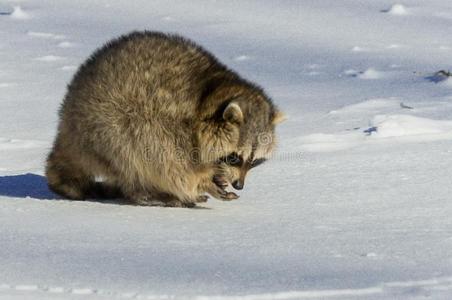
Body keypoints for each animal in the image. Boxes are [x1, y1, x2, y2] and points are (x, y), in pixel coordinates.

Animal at [46, 31, 286, 207]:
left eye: (254, 161)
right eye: (234, 157)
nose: (239, 185)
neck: (207, 99)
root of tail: (67, 119)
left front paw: (216, 176)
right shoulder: (171, 128)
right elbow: (172, 168)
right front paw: (203, 183)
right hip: (108, 125)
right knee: (131, 157)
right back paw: (148, 193)